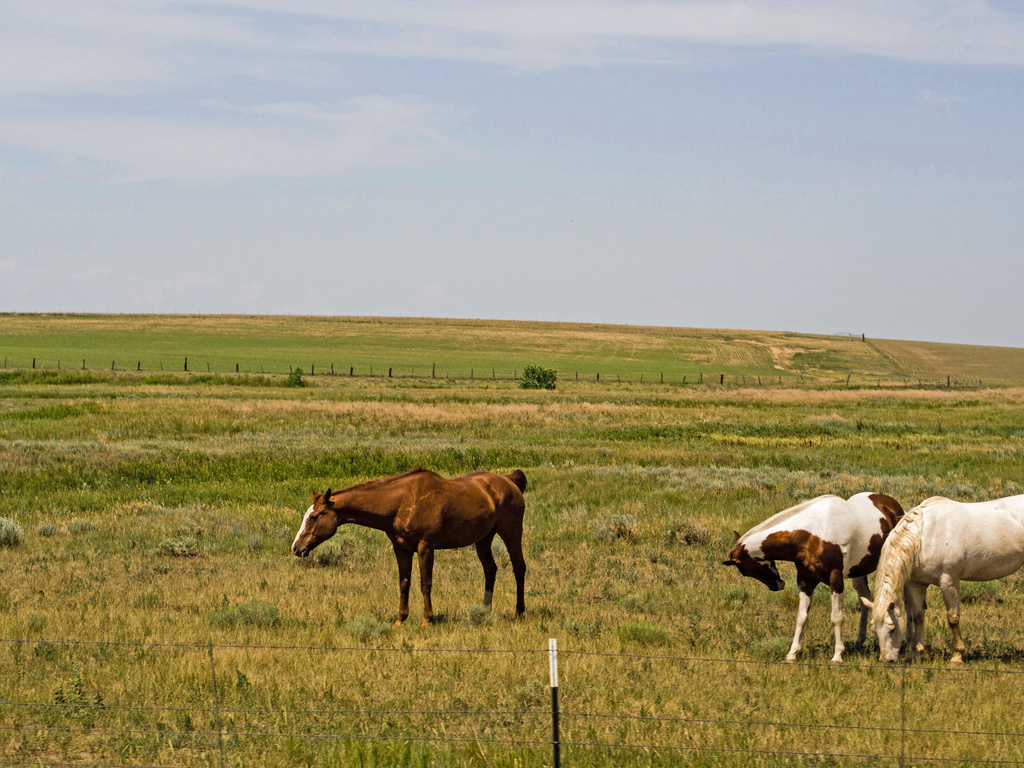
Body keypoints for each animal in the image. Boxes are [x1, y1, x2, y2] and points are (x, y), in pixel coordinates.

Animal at [290, 468, 524, 626]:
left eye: (313, 516)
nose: (296, 547)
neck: (402, 502)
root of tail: (508, 480)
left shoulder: (425, 547)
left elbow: (425, 583)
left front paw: (427, 620)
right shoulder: (401, 549)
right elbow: (404, 583)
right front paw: (400, 619)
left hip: (511, 533)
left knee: (519, 568)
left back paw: (519, 611)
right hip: (483, 540)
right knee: (490, 570)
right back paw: (484, 611)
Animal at [720, 495, 905, 663]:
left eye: (745, 570)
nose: (778, 584)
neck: (812, 534)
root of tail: (891, 504)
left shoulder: (835, 580)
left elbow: (837, 617)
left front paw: (837, 655)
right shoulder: (805, 580)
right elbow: (801, 617)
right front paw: (792, 653)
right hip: (858, 573)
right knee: (864, 602)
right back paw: (859, 642)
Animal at [868, 495, 1024, 663]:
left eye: (892, 628)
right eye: (874, 629)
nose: (886, 660)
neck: (924, 536)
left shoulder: (948, 581)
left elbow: (953, 618)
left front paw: (957, 655)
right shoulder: (917, 584)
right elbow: (918, 617)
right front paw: (915, 653)